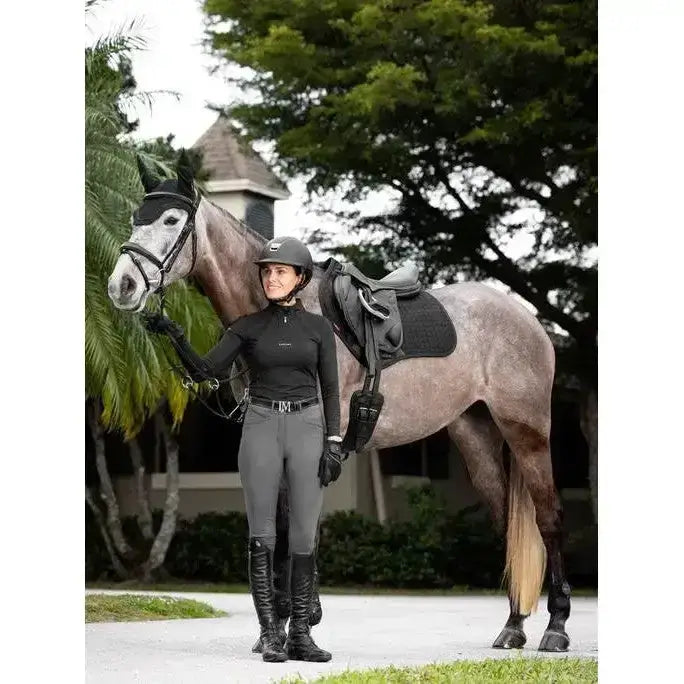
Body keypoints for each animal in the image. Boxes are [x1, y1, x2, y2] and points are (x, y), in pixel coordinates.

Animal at [107, 152, 571, 652]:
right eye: (136, 219)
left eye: (171, 220)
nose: (122, 285)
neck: (285, 316)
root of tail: (527, 320)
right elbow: (285, 524)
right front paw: (284, 625)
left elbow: (300, 527)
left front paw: (297, 624)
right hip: (476, 436)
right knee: (508, 524)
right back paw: (513, 625)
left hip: (526, 431)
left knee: (548, 517)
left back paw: (556, 627)